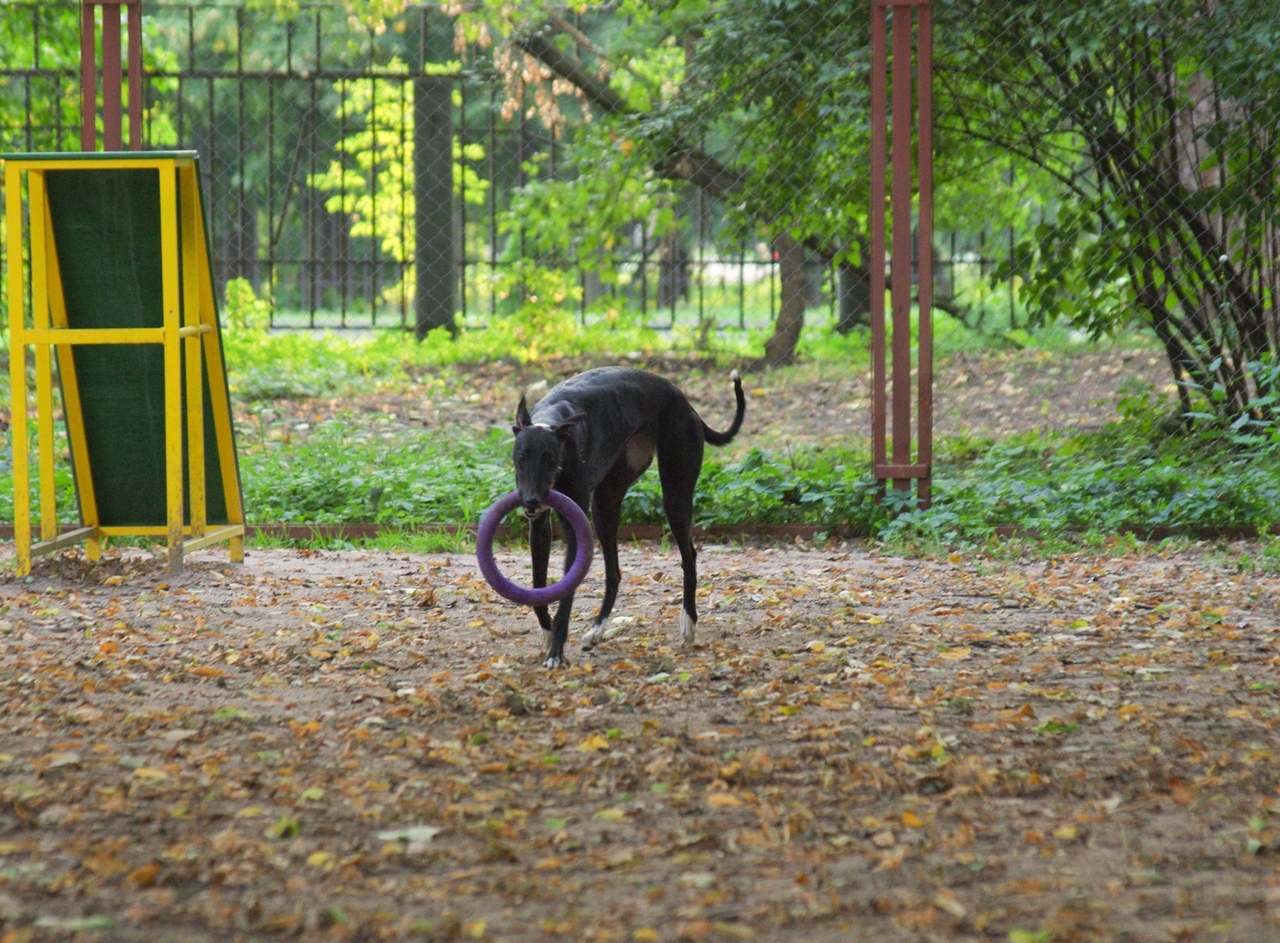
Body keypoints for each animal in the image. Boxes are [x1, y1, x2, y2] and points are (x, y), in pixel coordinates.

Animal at [509, 363, 747, 665]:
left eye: (550, 458)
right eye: (521, 456)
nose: (531, 501)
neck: (552, 419)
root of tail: (684, 400)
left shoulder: (574, 529)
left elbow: (567, 591)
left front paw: (556, 651)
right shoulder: (539, 526)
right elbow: (538, 584)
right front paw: (548, 631)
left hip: (675, 496)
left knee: (689, 557)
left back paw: (689, 620)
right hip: (605, 504)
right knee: (614, 573)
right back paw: (597, 630)